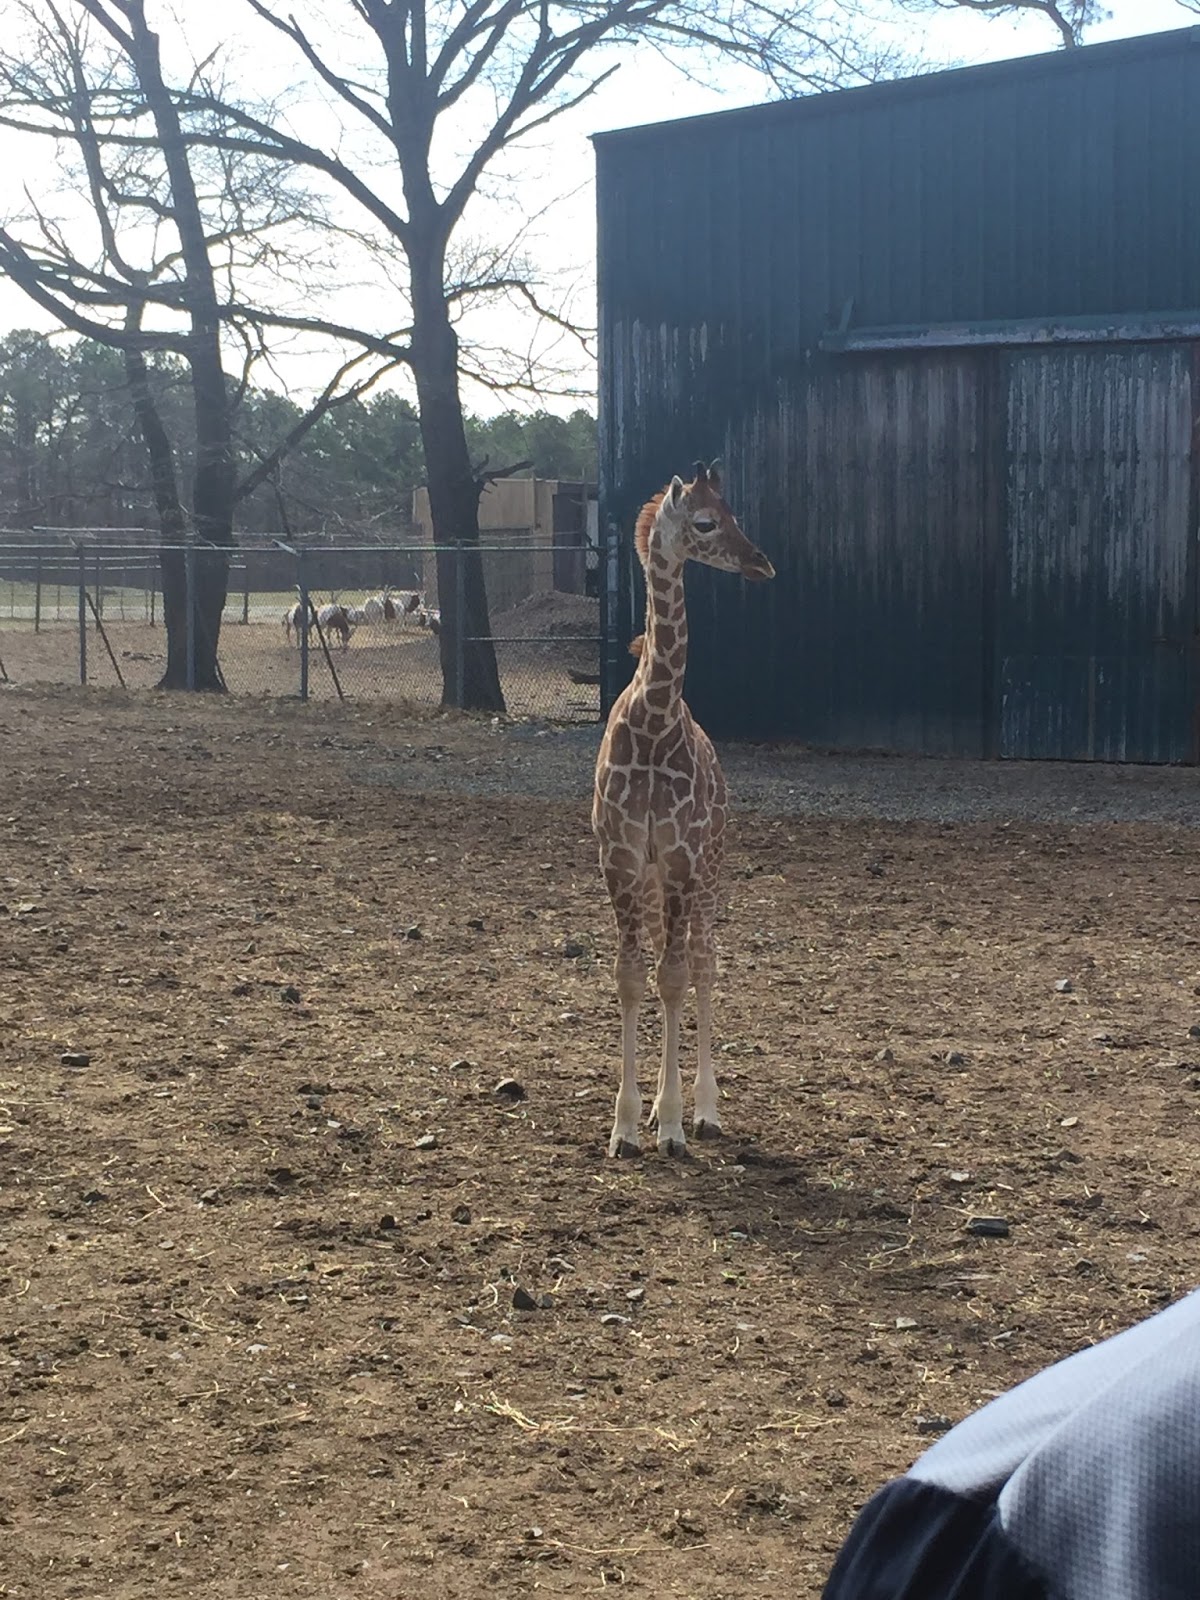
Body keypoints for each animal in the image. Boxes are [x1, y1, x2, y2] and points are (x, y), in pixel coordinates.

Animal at [592, 462, 774, 1158]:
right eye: (704, 522)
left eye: (734, 513)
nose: (761, 562)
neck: (654, 720)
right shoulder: (620, 858)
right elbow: (630, 976)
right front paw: (624, 1125)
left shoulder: (681, 857)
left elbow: (673, 978)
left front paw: (670, 1124)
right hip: (653, 880)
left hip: (709, 870)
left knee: (701, 961)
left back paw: (705, 1110)